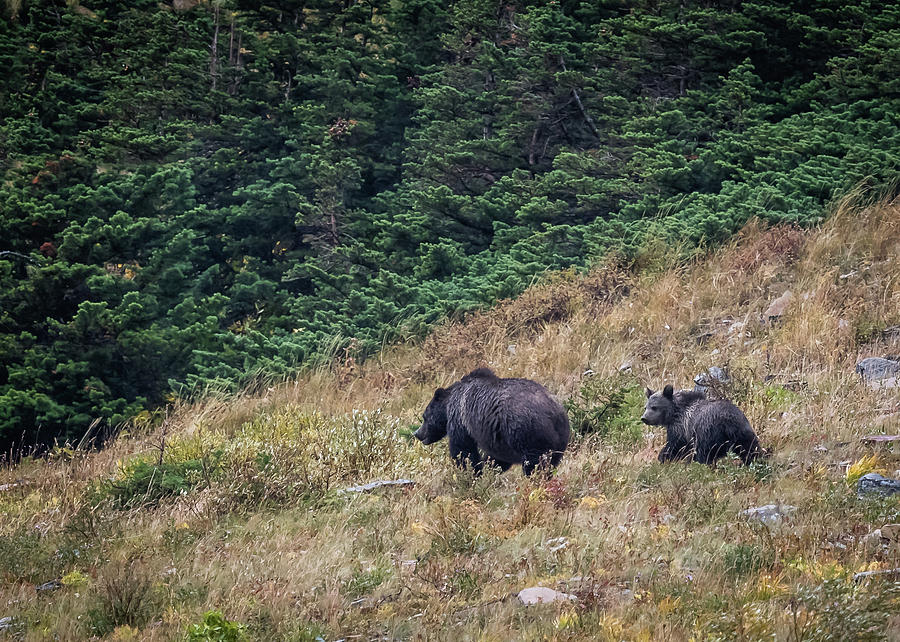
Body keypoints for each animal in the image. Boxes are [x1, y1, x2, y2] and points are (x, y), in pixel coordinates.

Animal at [414, 368, 568, 472]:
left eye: (424, 417)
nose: (417, 433)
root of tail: (553, 413)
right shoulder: (497, 439)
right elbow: (497, 457)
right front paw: (489, 466)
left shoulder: (460, 419)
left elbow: (462, 449)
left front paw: (471, 470)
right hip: (559, 440)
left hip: (527, 432)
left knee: (534, 463)